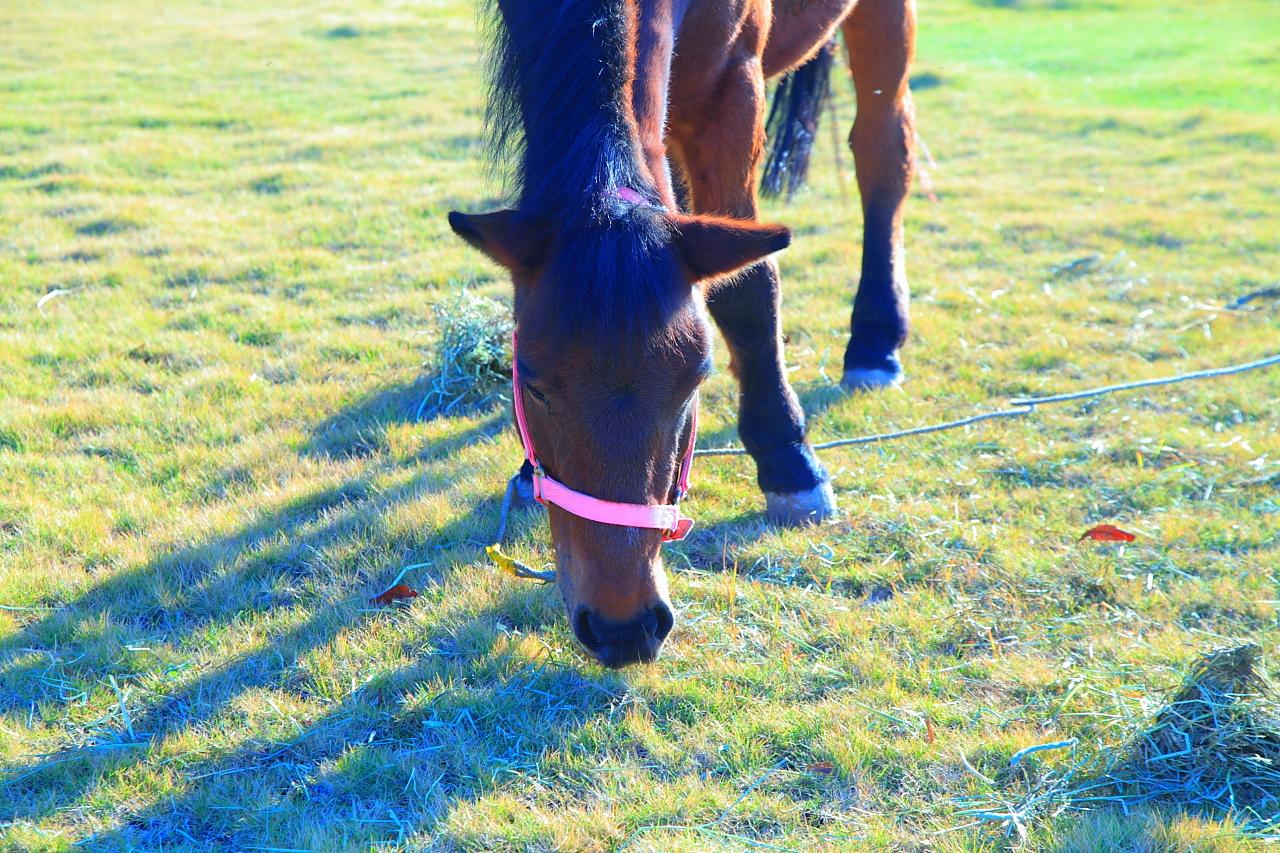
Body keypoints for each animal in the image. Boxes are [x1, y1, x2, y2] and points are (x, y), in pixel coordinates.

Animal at [450, 0, 911, 666]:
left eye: (694, 384)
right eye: (530, 383)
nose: (623, 628)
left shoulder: (732, 90)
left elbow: (749, 289)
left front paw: (789, 460)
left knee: (881, 152)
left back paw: (876, 340)